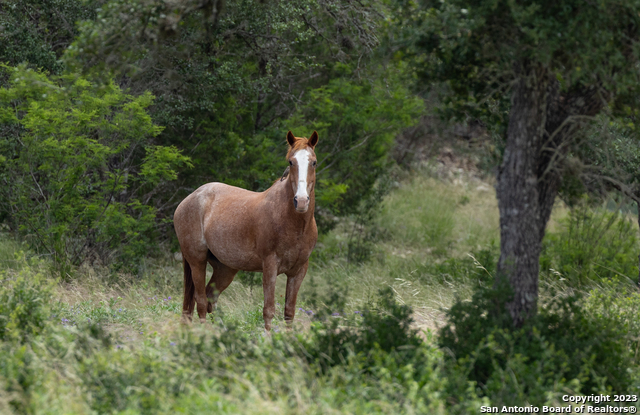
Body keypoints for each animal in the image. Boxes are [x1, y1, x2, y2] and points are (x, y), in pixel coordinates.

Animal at [174, 131, 318, 332]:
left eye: (314, 162)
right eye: (291, 162)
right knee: (201, 301)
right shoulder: (270, 266)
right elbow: (269, 310)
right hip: (197, 261)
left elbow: (289, 312)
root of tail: (188, 199)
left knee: (211, 297)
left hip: (225, 268)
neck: (295, 224)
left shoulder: (298, 271)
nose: (302, 201)